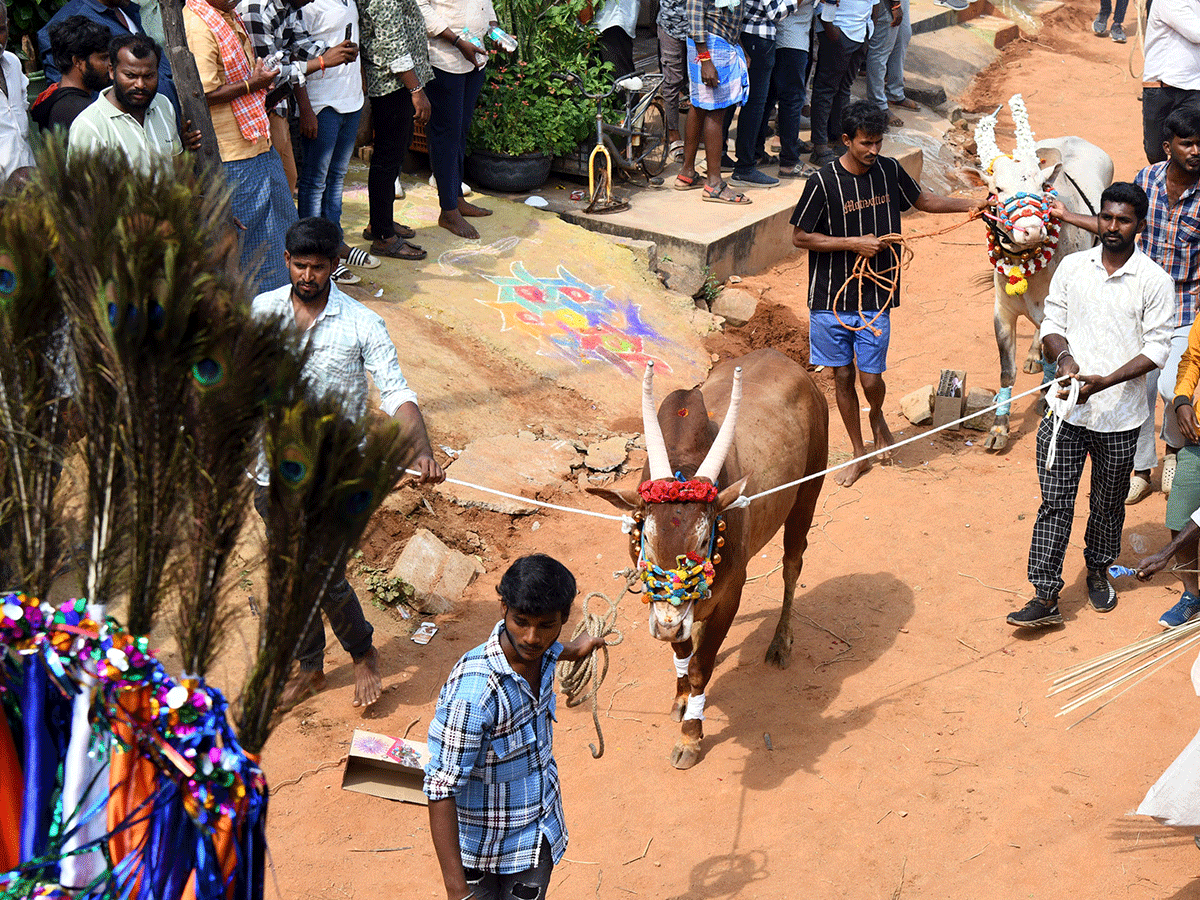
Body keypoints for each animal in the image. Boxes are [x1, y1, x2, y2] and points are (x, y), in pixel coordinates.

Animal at [588, 348, 825, 772]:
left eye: (703, 537)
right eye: (644, 536)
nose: (667, 627)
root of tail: (790, 361)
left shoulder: (730, 594)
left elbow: (701, 667)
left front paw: (690, 739)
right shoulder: (666, 610)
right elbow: (683, 653)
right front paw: (682, 700)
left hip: (808, 493)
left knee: (792, 566)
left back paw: (781, 643)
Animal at [974, 96, 1113, 453]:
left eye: (1042, 187)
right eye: (997, 188)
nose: (1032, 231)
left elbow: (1057, 357)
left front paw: (1046, 396)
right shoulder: (1002, 313)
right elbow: (1006, 372)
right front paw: (998, 428)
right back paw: (1033, 355)